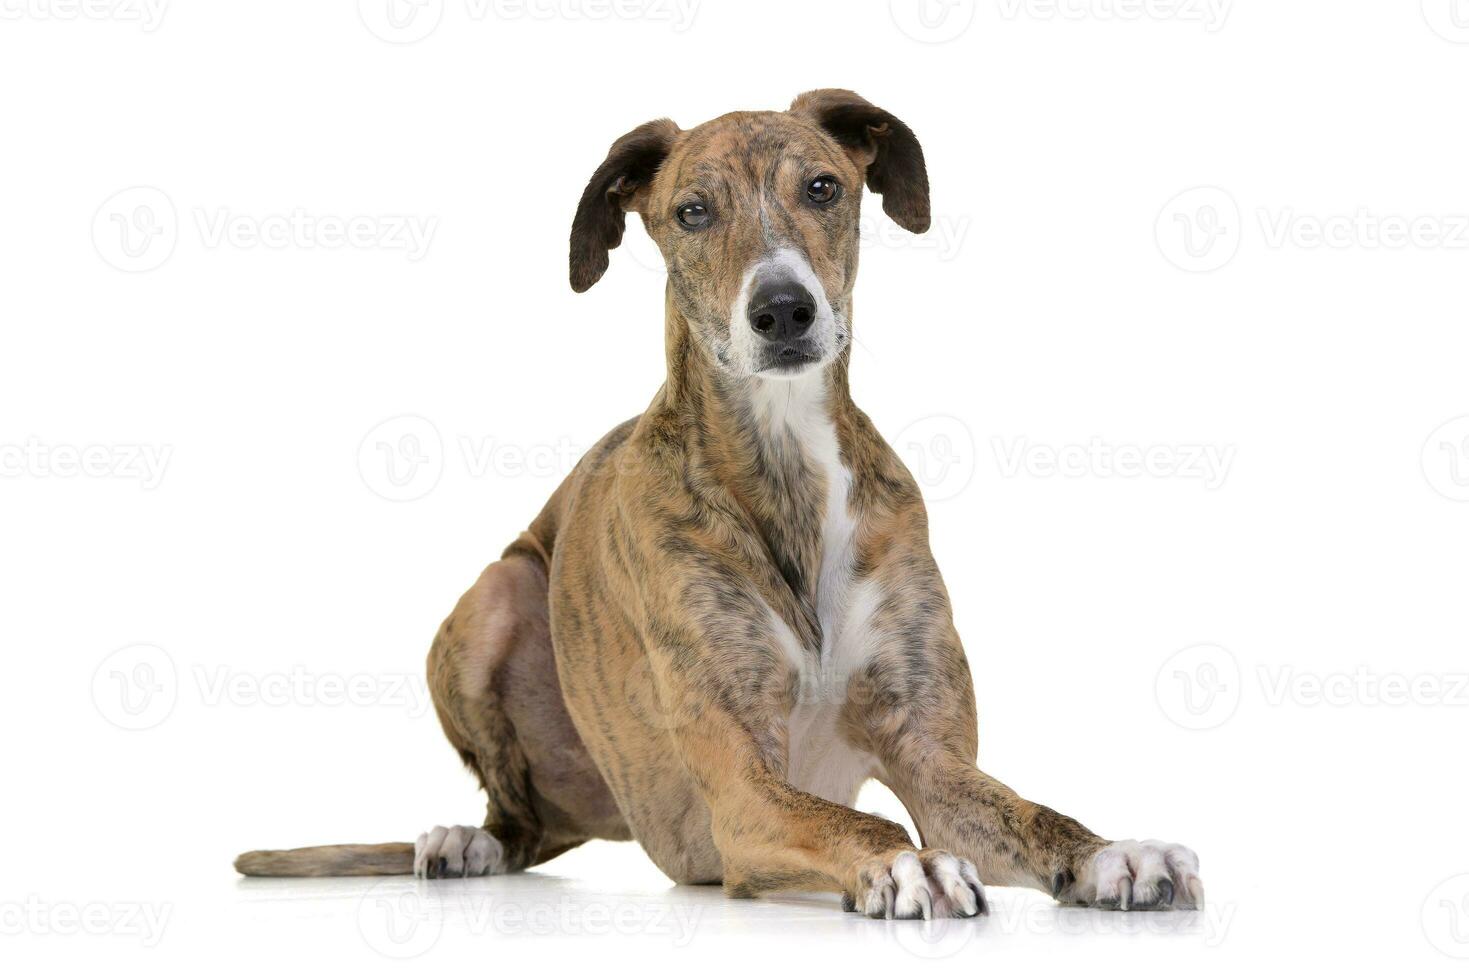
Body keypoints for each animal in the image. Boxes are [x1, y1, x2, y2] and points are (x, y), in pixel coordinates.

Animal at [237, 89, 1204, 922]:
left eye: (823, 188)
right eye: (691, 213)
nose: (783, 310)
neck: (784, 463)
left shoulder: (928, 751)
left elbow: (1024, 811)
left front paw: (1114, 854)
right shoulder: (742, 793)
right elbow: (861, 819)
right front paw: (907, 866)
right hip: (492, 600)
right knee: (513, 815)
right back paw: (463, 841)